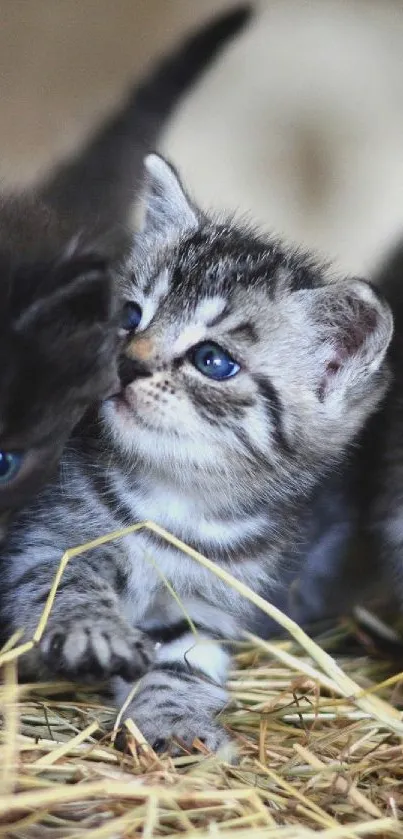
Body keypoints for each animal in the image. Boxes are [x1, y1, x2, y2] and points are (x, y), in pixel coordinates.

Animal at [0, 154, 394, 752]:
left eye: (212, 360)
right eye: (129, 317)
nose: (129, 364)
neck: (176, 499)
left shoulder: (207, 605)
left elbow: (182, 664)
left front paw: (177, 724)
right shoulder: (41, 540)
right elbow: (62, 581)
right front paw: (93, 629)